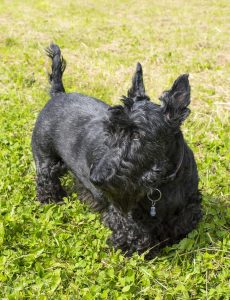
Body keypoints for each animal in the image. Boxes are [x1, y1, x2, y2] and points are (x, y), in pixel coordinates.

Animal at [31, 44, 201, 258]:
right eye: (110, 130)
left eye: (137, 136)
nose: (96, 179)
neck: (162, 183)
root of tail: (58, 94)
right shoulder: (124, 214)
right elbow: (136, 234)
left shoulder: (189, 206)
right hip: (46, 159)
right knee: (46, 181)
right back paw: (52, 201)